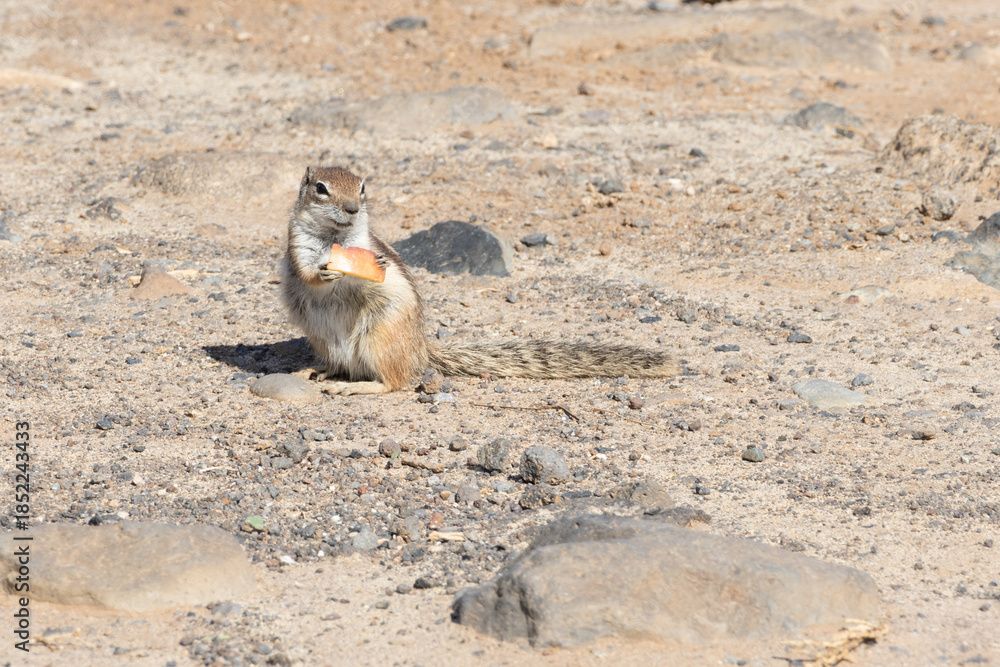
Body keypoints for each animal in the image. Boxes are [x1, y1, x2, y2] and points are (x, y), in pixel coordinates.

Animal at [280, 166, 679, 395]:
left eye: (362, 187)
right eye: (320, 187)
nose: (352, 209)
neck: (336, 238)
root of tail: (421, 348)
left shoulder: (365, 246)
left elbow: (373, 274)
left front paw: (370, 267)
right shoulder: (298, 244)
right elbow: (307, 272)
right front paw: (323, 271)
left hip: (382, 339)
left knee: (395, 382)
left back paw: (359, 389)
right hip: (323, 338)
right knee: (342, 366)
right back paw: (316, 370)